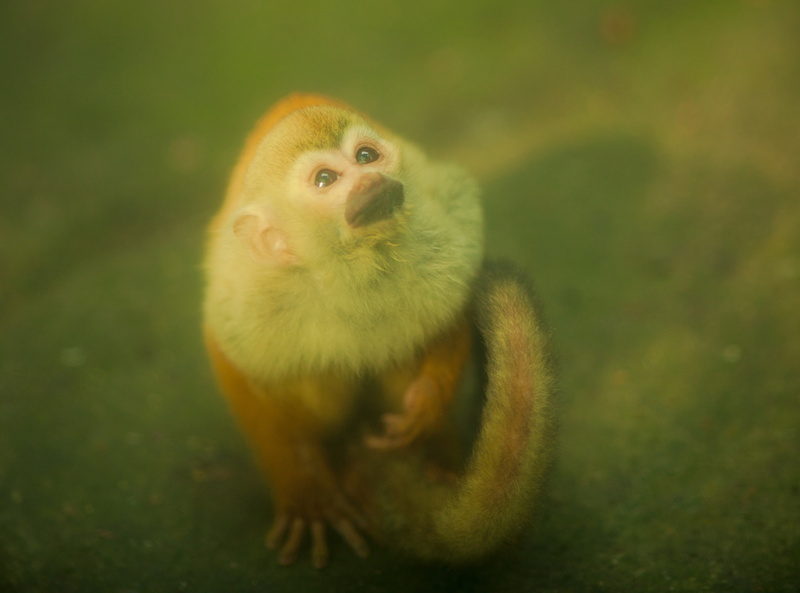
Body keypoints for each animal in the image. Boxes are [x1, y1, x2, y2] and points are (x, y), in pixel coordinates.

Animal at [202, 93, 557, 568]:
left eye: (366, 156)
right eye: (326, 180)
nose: (372, 178)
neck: (351, 264)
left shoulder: (435, 229)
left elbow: (453, 299)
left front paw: (427, 406)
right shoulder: (253, 293)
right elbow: (235, 360)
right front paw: (306, 492)